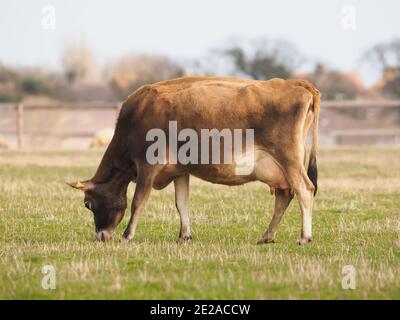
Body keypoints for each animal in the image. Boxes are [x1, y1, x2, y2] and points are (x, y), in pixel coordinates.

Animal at [67, 77, 320, 245]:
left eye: (88, 204)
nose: (100, 237)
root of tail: (297, 83)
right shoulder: (180, 171)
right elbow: (182, 203)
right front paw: (184, 236)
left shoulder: (148, 165)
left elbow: (139, 200)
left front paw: (127, 235)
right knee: (284, 196)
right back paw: (267, 236)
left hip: (288, 158)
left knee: (304, 189)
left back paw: (304, 236)